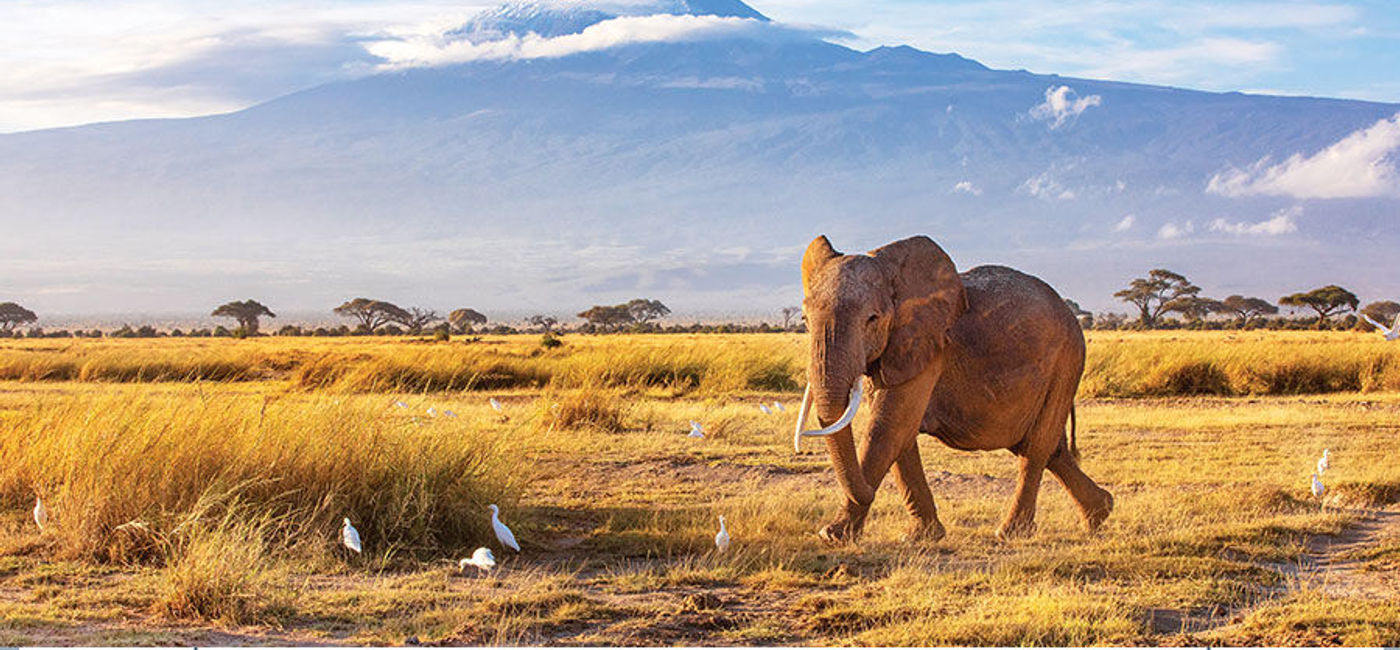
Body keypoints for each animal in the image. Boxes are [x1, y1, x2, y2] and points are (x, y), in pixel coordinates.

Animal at [793, 234, 1113, 542]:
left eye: (872, 319)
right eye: (805, 320)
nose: (870, 493)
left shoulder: (930, 346)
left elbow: (888, 429)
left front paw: (832, 536)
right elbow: (902, 436)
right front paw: (921, 536)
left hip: (1067, 360)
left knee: (1036, 447)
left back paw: (1010, 532)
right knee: (1050, 448)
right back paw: (1101, 513)